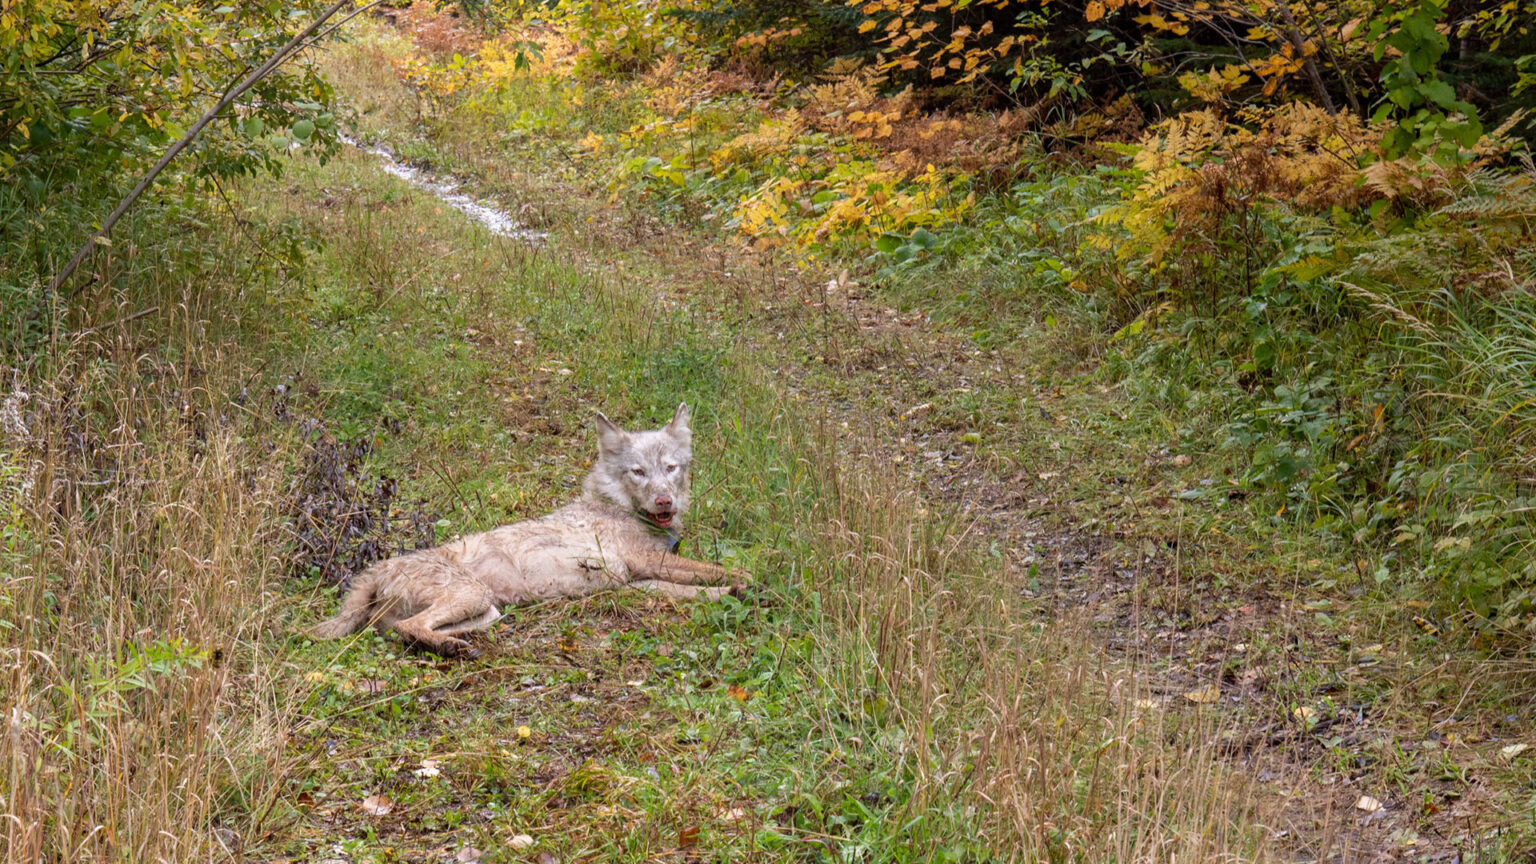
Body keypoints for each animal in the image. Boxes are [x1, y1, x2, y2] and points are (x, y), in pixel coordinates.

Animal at [309, 404, 747, 656]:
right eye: (638, 472)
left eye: (670, 468)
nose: (664, 501)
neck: (616, 506)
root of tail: (376, 569)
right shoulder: (646, 563)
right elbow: (718, 570)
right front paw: (751, 580)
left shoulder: (636, 581)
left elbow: (702, 589)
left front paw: (734, 592)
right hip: (472, 595)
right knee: (409, 628)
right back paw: (452, 650)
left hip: (488, 610)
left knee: (404, 631)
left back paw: (454, 644)